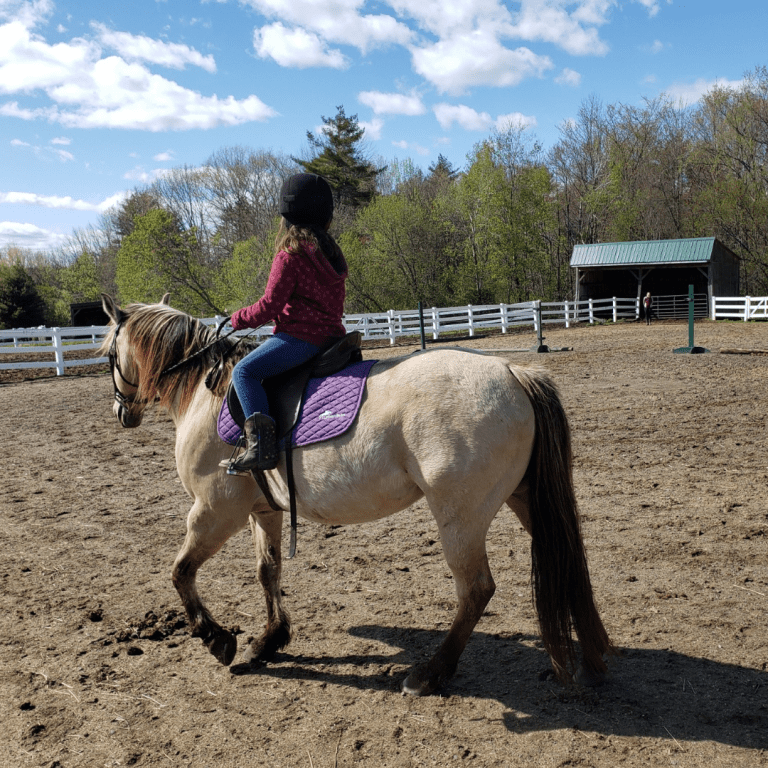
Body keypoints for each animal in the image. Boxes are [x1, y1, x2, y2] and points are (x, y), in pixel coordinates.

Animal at [99, 294, 614, 695]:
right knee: (568, 559)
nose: (122, 412)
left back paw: (430, 673)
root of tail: (511, 370)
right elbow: (268, 572)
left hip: (460, 516)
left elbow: (180, 572)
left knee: (476, 589)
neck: (208, 394)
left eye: (107, 356)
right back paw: (594, 659)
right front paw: (269, 639)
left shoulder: (213, 510)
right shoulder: (263, 511)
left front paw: (217, 639)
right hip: (524, 498)